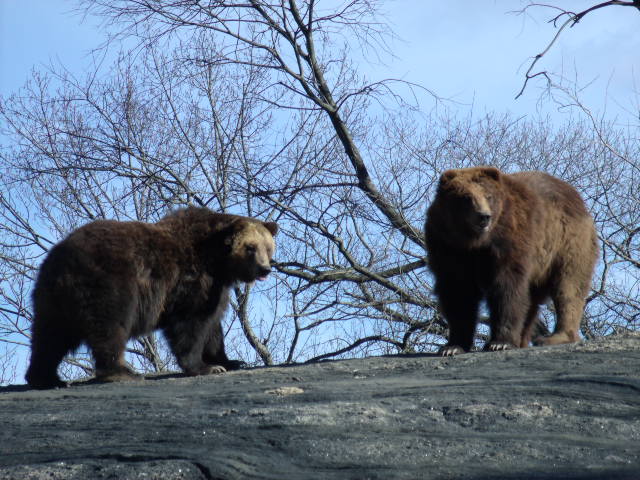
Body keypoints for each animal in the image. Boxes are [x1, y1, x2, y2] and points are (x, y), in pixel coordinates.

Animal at [25, 206, 278, 389]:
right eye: (250, 247)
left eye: (268, 248)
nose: (264, 269)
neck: (217, 262)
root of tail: (61, 261)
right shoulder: (189, 282)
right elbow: (191, 324)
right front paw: (204, 367)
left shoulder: (216, 287)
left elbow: (214, 325)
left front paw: (228, 361)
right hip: (109, 284)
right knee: (109, 327)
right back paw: (122, 372)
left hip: (50, 298)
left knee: (48, 336)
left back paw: (46, 378)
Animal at [424, 166, 598, 356]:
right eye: (466, 197)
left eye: (488, 196)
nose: (484, 216)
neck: (475, 242)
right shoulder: (448, 248)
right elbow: (458, 293)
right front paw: (453, 346)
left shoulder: (511, 242)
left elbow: (507, 289)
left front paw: (500, 343)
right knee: (533, 303)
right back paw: (523, 340)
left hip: (566, 242)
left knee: (569, 286)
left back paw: (555, 337)